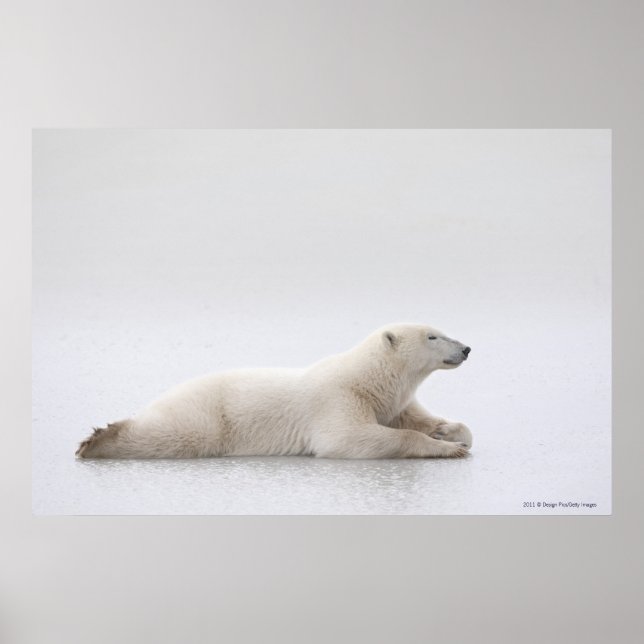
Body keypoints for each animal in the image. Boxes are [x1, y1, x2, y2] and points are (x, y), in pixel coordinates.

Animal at [75, 323, 472, 460]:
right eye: (432, 336)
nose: (466, 348)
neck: (371, 379)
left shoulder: (392, 402)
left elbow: (418, 419)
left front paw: (448, 432)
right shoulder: (338, 397)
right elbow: (347, 438)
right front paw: (447, 448)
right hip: (207, 414)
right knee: (176, 435)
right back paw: (99, 440)